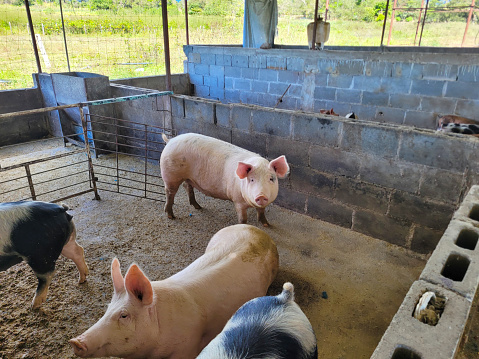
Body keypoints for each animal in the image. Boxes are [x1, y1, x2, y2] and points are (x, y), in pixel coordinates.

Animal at [159, 134, 290, 226]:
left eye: (271, 178)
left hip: (188, 177)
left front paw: (267, 225)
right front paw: (243, 227)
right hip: (170, 175)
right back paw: (171, 216)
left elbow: (262, 211)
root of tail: (170, 140)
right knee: (170, 193)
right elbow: (243, 218)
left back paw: (198, 207)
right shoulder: (237, 200)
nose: (261, 195)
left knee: (187, 187)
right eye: (252, 179)